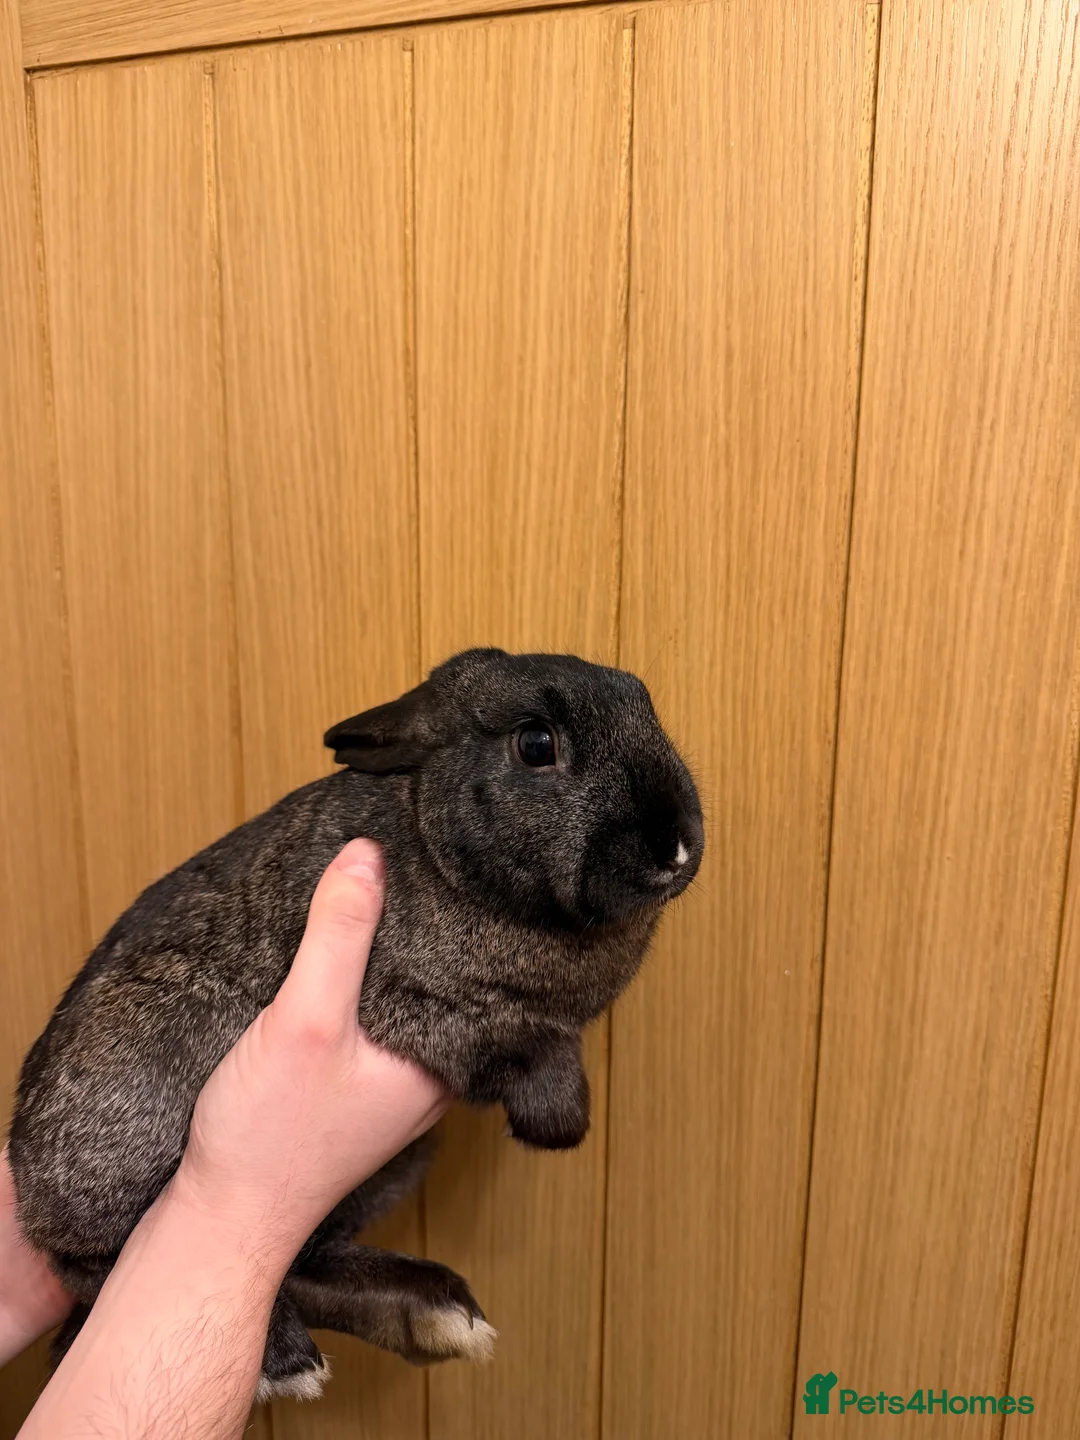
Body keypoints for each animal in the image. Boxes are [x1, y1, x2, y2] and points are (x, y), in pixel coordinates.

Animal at [9, 647, 704, 1402]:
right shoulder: (414, 1001)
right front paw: (560, 1122)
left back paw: (431, 1314)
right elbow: (517, 1042)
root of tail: (24, 1184)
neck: (433, 836)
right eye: (536, 744)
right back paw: (285, 1359)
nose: (676, 846)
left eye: (648, 709)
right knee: (95, 1262)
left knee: (299, 1259)